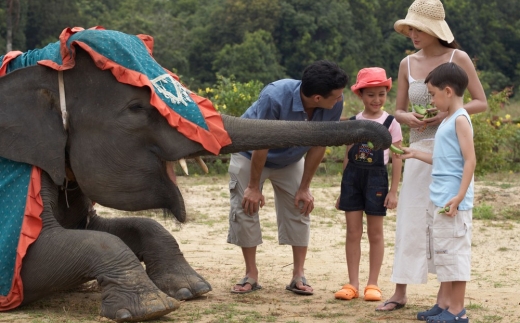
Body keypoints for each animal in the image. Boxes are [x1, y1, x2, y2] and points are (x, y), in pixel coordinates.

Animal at [0, 27, 390, 322]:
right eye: (137, 108)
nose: (382, 137)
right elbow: (60, 252)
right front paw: (153, 308)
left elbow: (119, 228)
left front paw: (192, 289)